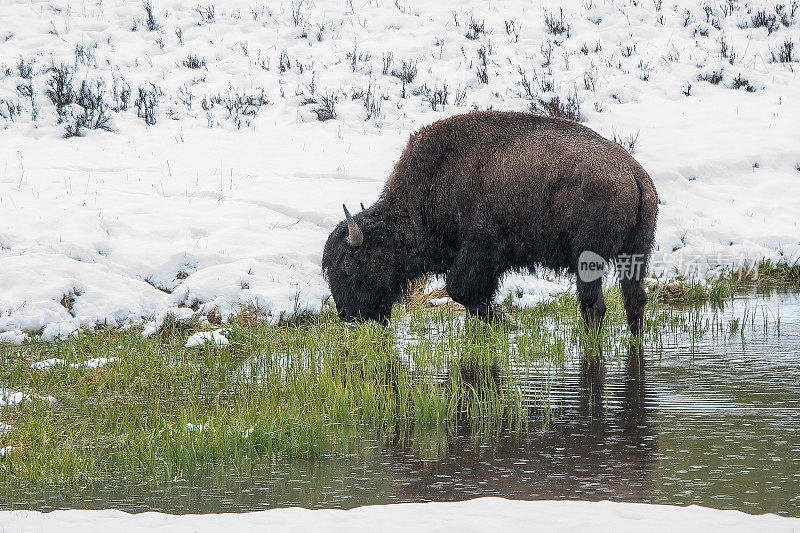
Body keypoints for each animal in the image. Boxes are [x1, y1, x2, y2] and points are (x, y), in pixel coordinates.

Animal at [322, 110, 660, 334]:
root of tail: (633, 172)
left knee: (594, 305)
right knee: (634, 299)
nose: (347, 315)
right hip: (636, 254)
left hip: (588, 259)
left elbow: (461, 289)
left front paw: (509, 322)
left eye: (348, 264)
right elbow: (474, 296)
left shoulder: (481, 247)